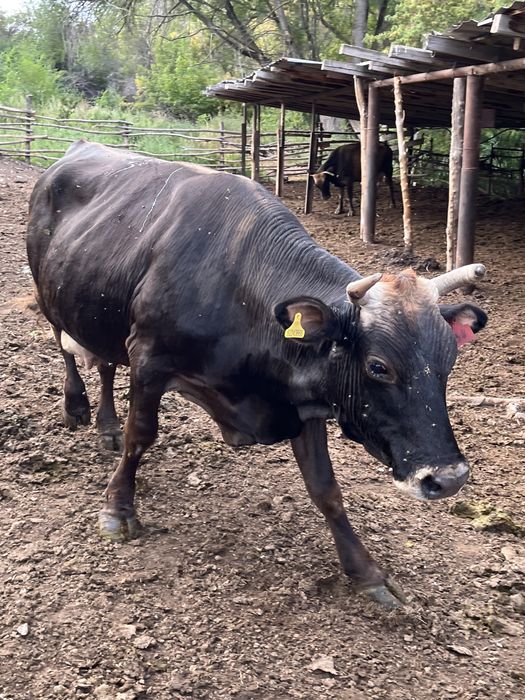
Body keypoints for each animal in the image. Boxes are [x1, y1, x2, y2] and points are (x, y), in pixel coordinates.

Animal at [26, 140, 487, 609]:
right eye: (378, 366)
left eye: (450, 360)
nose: (448, 479)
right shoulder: (148, 357)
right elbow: (141, 435)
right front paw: (118, 511)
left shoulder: (306, 400)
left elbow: (326, 488)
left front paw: (366, 571)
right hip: (52, 296)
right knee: (68, 349)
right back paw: (77, 407)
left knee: (103, 363)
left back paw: (107, 427)